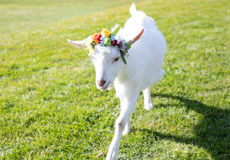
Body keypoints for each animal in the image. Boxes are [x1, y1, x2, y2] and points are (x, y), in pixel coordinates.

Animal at [67, 2, 166, 160]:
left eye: (116, 58)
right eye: (92, 57)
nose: (101, 82)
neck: (124, 70)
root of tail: (138, 14)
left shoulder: (132, 90)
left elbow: (119, 121)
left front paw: (112, 153)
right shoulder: (121, 89)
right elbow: (123, 109)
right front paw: (127, 128)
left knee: (148, 85)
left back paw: (148, 103)